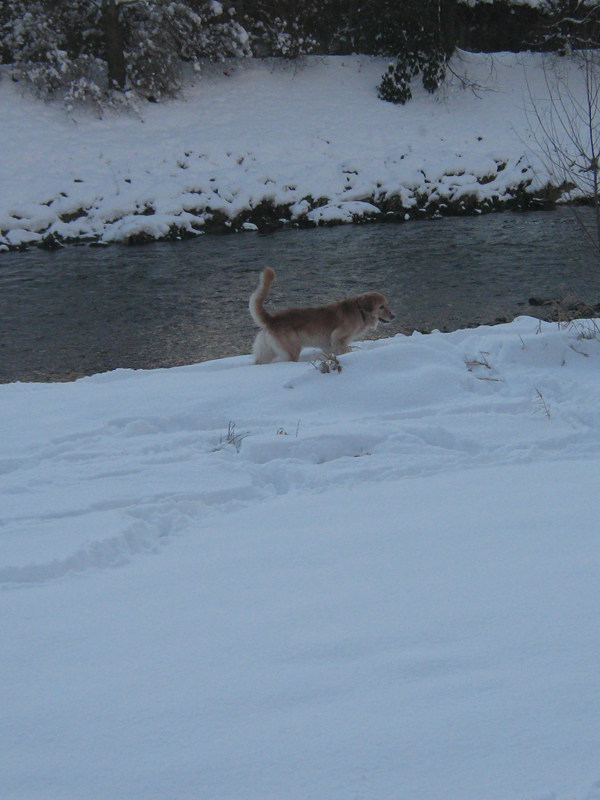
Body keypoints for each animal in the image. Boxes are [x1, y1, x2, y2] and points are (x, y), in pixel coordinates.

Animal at [248, 268, 394, 364]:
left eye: (387, 305)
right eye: (381, 307)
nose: (393, 316)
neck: (360, 311)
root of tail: (272, 319)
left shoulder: (328, 345)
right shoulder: (338, 337)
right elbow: (344, 350)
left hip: (265, 353)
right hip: (292, 350)